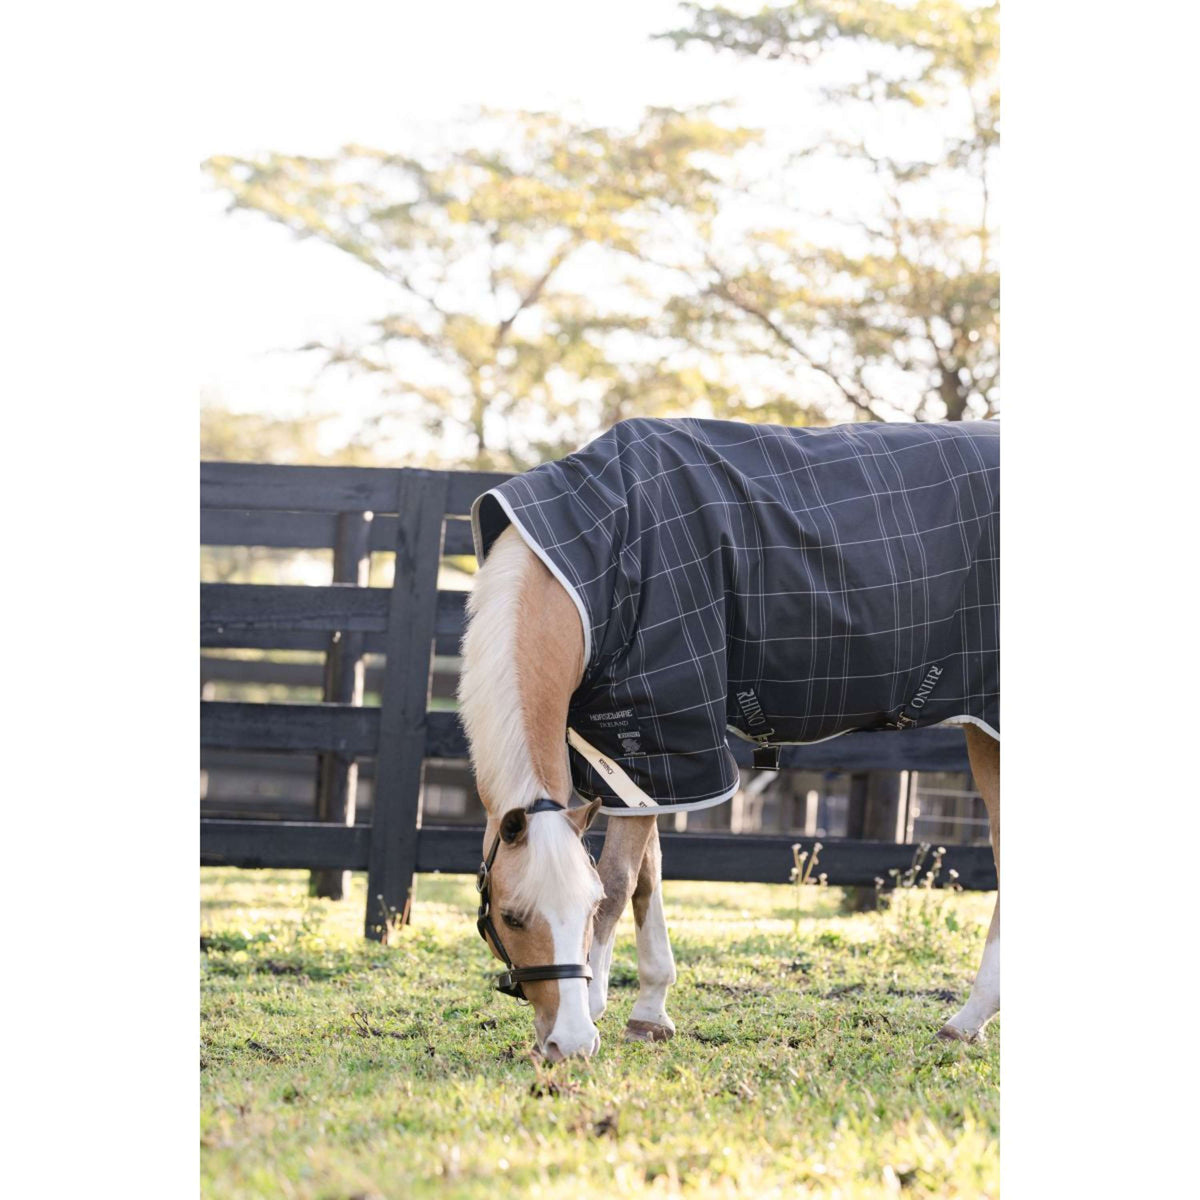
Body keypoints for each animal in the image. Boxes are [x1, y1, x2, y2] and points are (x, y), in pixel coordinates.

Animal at [457, 417, 999, 1061]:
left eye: (583, 911)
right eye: (512, 918)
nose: (569, 1044)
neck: (595, 561)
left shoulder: (663, 730)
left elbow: (619, 881)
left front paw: (597, 1005)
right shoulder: (636, 758)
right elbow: (648, 877)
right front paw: (650, 1012)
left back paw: (968, 1018)